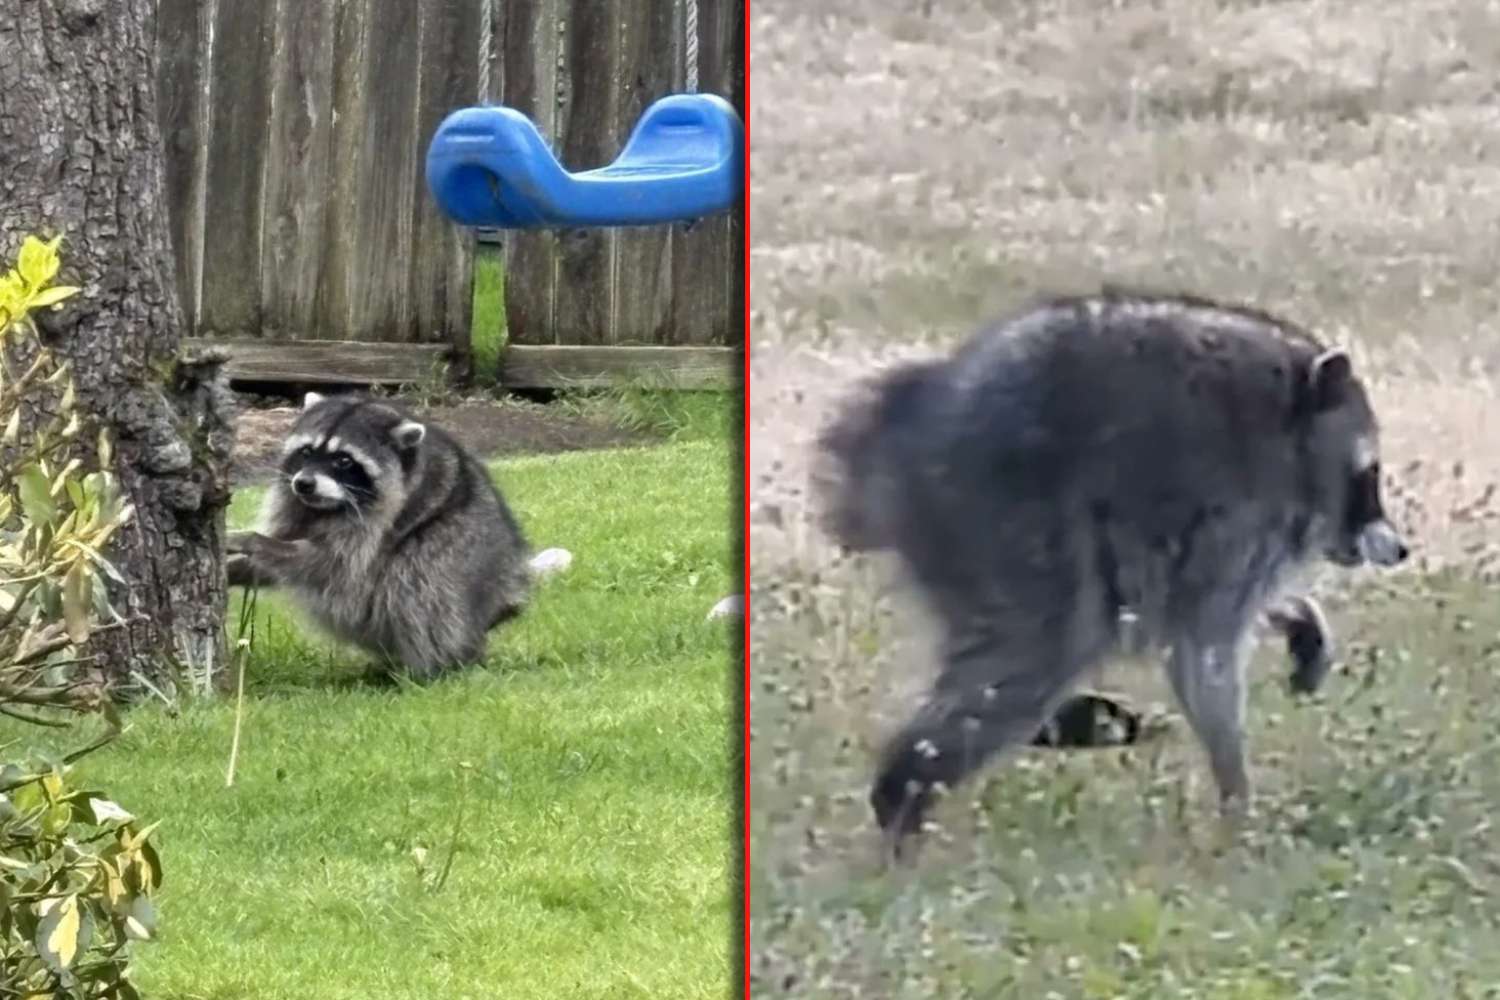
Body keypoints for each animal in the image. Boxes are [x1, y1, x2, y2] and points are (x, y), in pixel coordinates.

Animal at [227, 392, 532, 680]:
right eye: (306, 452)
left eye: (344, 460)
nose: (304, 484)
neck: (327, 507)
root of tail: (504, 595)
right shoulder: (295, 506)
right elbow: (277, 560)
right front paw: (239, 567)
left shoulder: (379, 522)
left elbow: (329, 565)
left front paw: (255, 541)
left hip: (461, 553)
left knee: (419, 578)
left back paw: (432, 667)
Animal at [813, 289, 1408, 855]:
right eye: (1370, 475)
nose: (1400, 549)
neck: (1292, 420)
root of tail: (899, 431)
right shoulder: (1239, 516)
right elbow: (1203, 654)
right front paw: (1236, 799)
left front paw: (1296, 614)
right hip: (1006, 521)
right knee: (1035, 655)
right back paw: (903, 791)